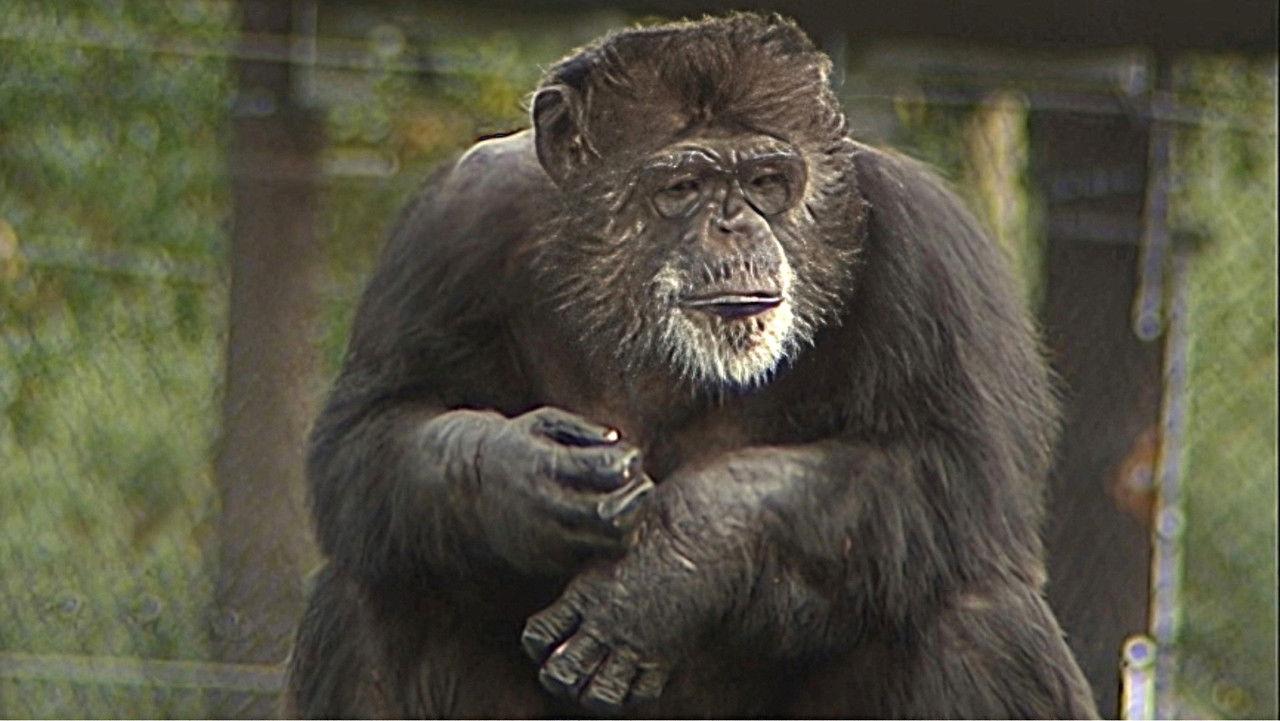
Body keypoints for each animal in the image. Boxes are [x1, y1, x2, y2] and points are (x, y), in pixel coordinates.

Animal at [285, 13, 1100, 719]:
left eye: (767, 181)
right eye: (683, 187)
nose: (735, 224)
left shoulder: (928, 247)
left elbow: (953, 462)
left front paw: (676, 559)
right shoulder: (451, 222)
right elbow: (374, 430)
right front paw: (521, 474)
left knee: (975, 613)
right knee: (379, 589)